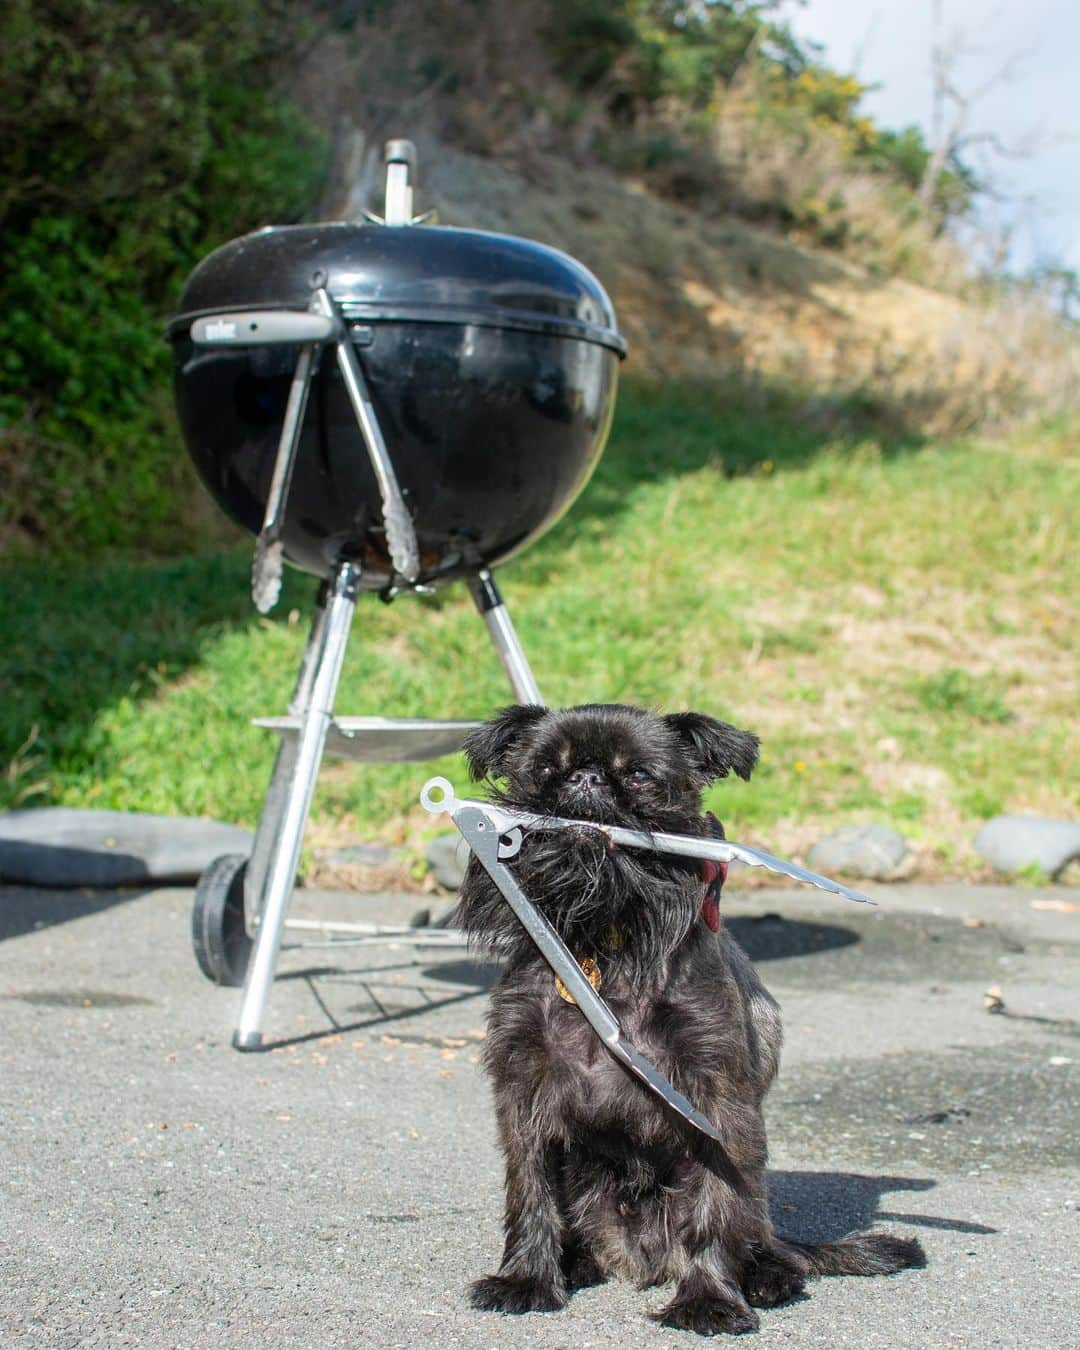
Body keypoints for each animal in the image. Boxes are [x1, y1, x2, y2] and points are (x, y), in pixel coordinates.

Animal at [453, 702, 918, 1333]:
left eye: (640, 775)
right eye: (546, 769)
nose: (586, 778)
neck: (607, 944)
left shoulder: (713, 1097)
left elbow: (712, 1204)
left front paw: (707, 1299)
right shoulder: (524, 1092)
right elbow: (531, 1194)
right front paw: (525, 1279)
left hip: (755, 1199)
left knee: (759, 1234)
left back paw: (768, 1276)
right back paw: (577, 1264)